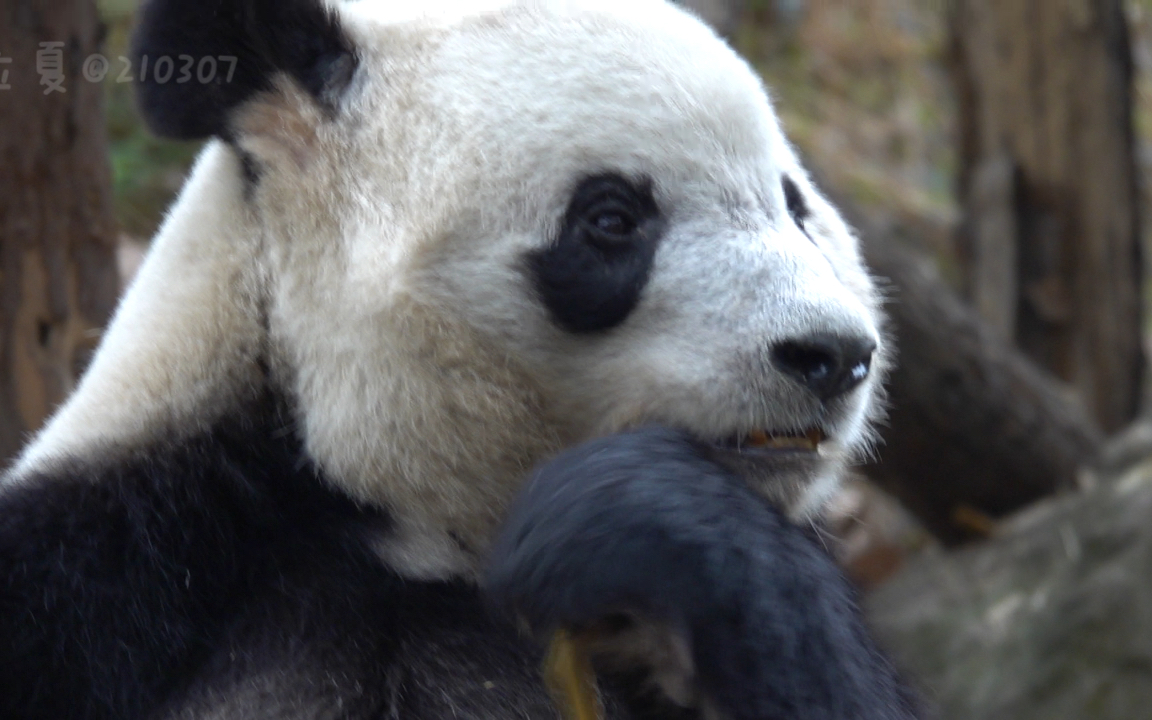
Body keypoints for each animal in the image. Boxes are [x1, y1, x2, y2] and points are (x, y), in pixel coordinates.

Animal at [0, 0, 916, 714]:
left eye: (794, 208)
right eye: (612, 218)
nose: (832, 354)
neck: (406, 531)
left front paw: (632, 513)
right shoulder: (108, 571)